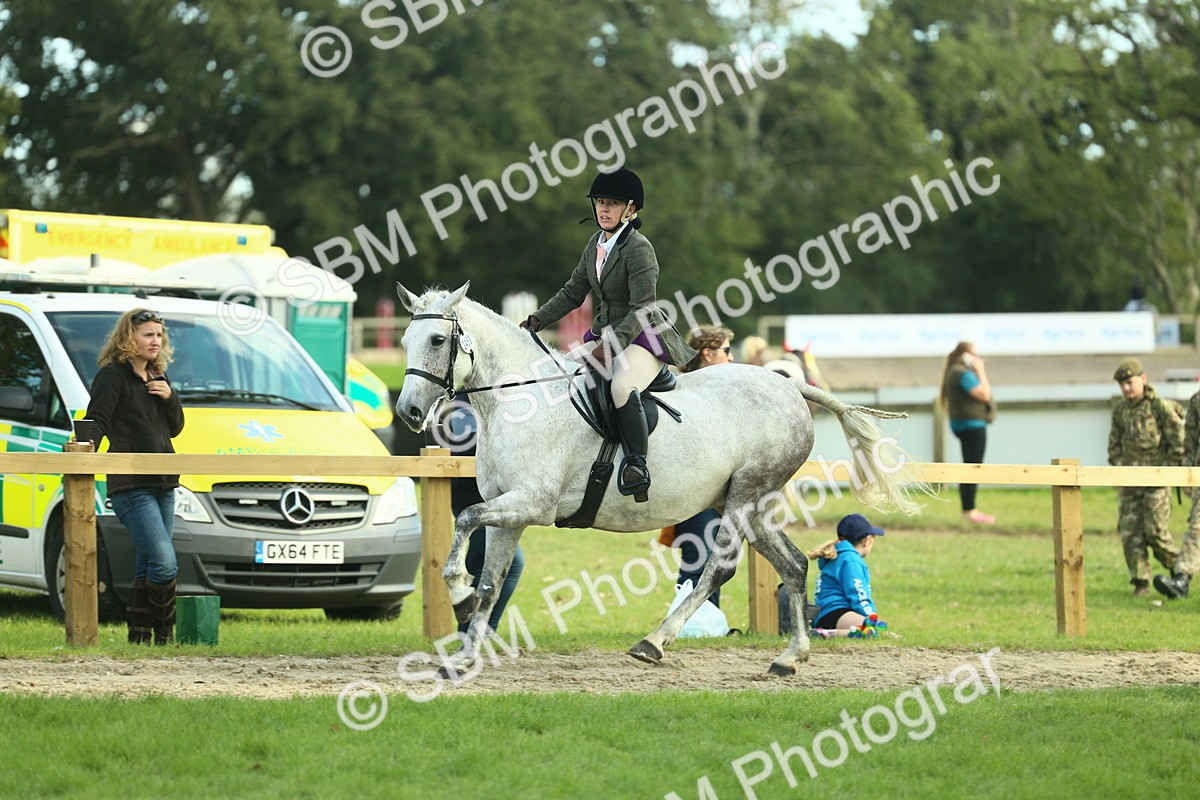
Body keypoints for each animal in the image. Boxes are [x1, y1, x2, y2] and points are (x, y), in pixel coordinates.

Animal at [395, 282, 922, 677]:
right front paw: (464, 654)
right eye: (403, 343)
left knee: (719, 569)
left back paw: (653, 642)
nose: (409, 413)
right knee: (792, 565)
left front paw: (458, 593)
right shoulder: (511, 513)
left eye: (437, 341)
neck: (520, 401)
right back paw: (789, 658)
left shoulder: (533, 504)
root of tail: (788, 385)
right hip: (750, 505)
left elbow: (465, 518)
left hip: (745, 498)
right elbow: (491, 581)